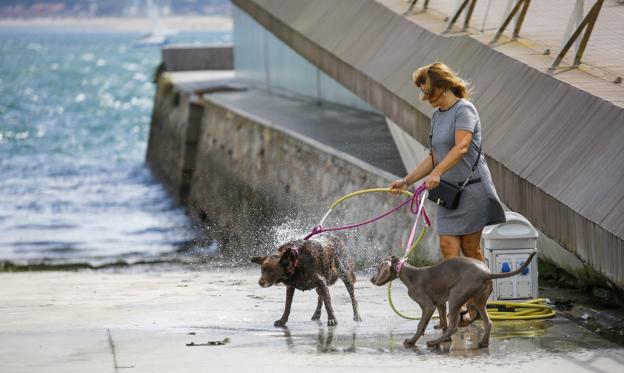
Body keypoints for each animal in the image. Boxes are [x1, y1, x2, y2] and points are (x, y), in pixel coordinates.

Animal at [370, 251, 536, 348]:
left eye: (378, 268)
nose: (371, 280)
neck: (411, 275)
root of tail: (486, 273)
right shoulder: (440, 303)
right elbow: (443, 321)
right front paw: (446, 340)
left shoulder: (428, 306)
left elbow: (421, 325)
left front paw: (411, 341)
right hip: (478, 300)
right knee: (487, 322)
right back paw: (483, 342)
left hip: (455, 295)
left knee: (454, 326)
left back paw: (433, 342)